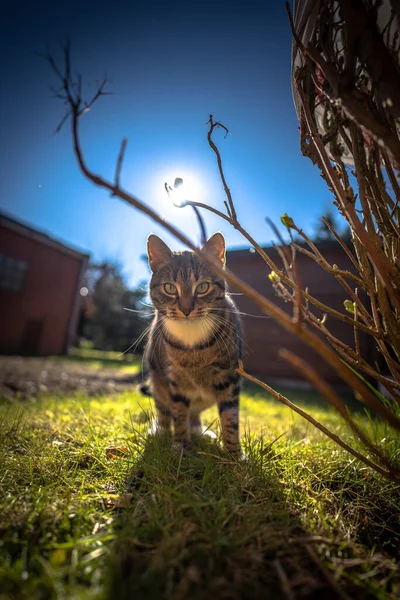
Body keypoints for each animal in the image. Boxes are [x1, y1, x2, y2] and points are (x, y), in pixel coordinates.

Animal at [144, 231, 244, 454]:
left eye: (203, 286)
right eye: (170, 288)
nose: (186, 309)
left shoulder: (229, 375)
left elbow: (230, 415)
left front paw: (233, 454)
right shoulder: (175, 378)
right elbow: (179, 411)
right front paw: (181, 445)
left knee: (194, 413)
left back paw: (200, 430)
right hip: (157, 379)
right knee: (164, 409)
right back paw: (160, 430)